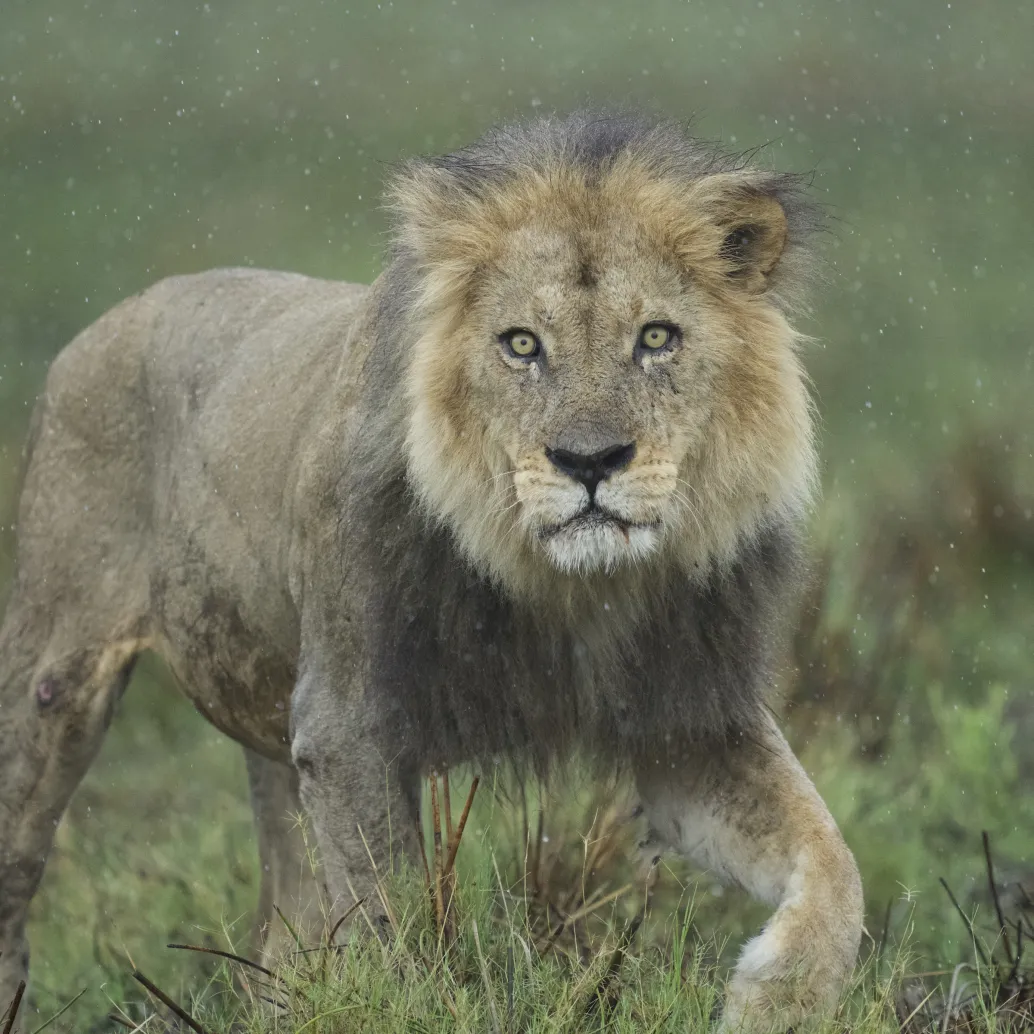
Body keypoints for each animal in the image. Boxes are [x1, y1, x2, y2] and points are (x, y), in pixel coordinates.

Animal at [2, 113, 864, 1025]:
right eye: (521, 345)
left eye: (656, 338)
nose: (589, 461)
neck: (568, 589)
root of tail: (110, 319)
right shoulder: (347, 723)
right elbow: (395, 920)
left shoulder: (685, 720)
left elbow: (833, 860)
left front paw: (777, 1001)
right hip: (54, 679)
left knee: (280, 927)